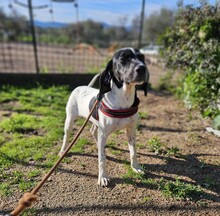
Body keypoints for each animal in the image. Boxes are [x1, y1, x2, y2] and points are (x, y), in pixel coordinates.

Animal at [58, 48, 150, 186]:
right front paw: (102, 177)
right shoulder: (104, 132)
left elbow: (133, 151)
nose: (142, 68)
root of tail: (82, 87)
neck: (123, 99)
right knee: (66, 135)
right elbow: (102, 158)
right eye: (123, 58)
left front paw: (136, 167)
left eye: (142, 57)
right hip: (70, 120)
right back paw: (63, 150)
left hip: (97, 124)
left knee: (93, 132)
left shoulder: (131, 130)